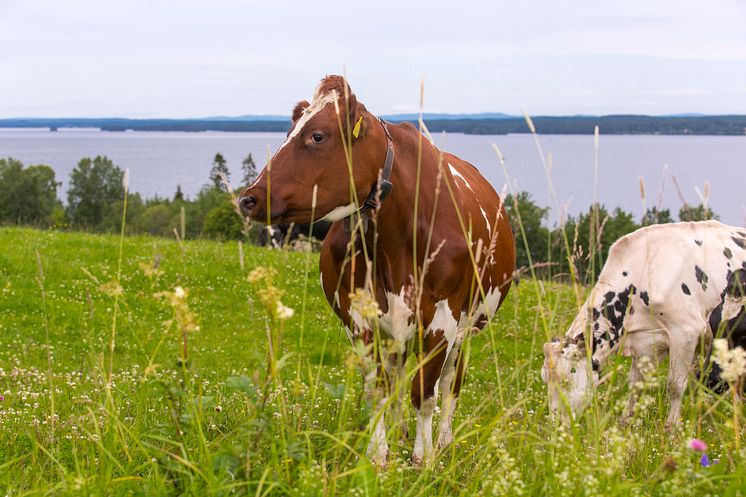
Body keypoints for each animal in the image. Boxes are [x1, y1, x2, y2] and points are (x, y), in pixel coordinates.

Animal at [238, 74, 512, 464]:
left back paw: (444, 441)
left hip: (468, 328)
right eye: (289, 132)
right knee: (397, 377)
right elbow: (378, 391)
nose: (249, 198)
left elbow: (424, 394)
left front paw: (423, 458)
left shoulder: (442, 321)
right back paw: (399, 436)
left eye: (317, 136)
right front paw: (379, 456)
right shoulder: (359, 319)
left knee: (450, 383)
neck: (395, 242)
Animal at [540, 221, 744, 426]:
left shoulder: (685, 333)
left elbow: (675, 386)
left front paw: (671, 427)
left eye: (568, 377)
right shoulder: (643, 343)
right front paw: (625, 421)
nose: (556, 423)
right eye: (545, 378)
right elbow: (635, 385)